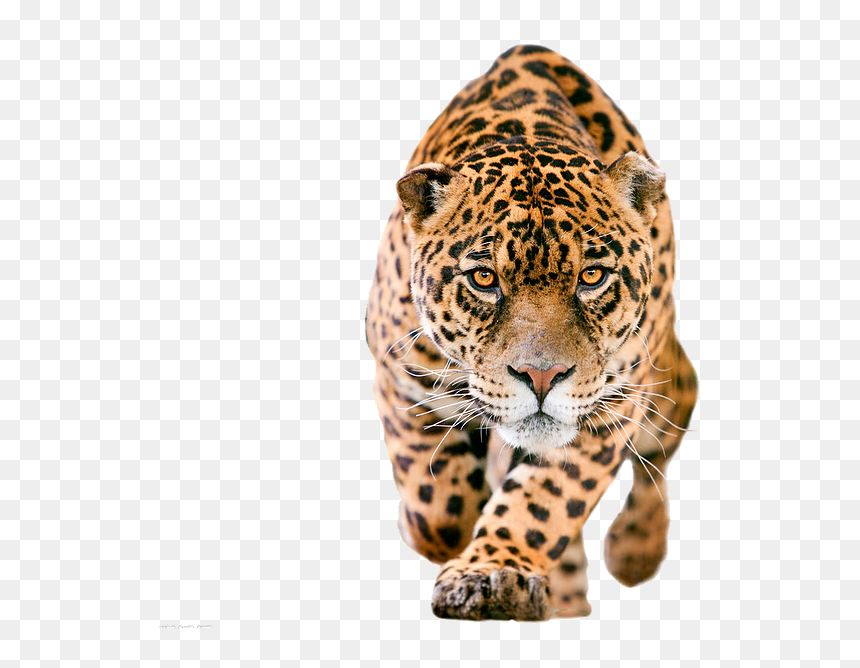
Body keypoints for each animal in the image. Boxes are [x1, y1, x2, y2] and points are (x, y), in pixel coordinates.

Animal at [365, 45, 698, 621]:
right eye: (484, 278)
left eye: (592, 277)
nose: (541, 377)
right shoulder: (398, 372)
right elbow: (437, 507)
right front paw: (445, 532)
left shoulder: (611, 406)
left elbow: (545, 501)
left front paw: (494, 572)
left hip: (664, 388)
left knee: (664, 442)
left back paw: (633, 551)